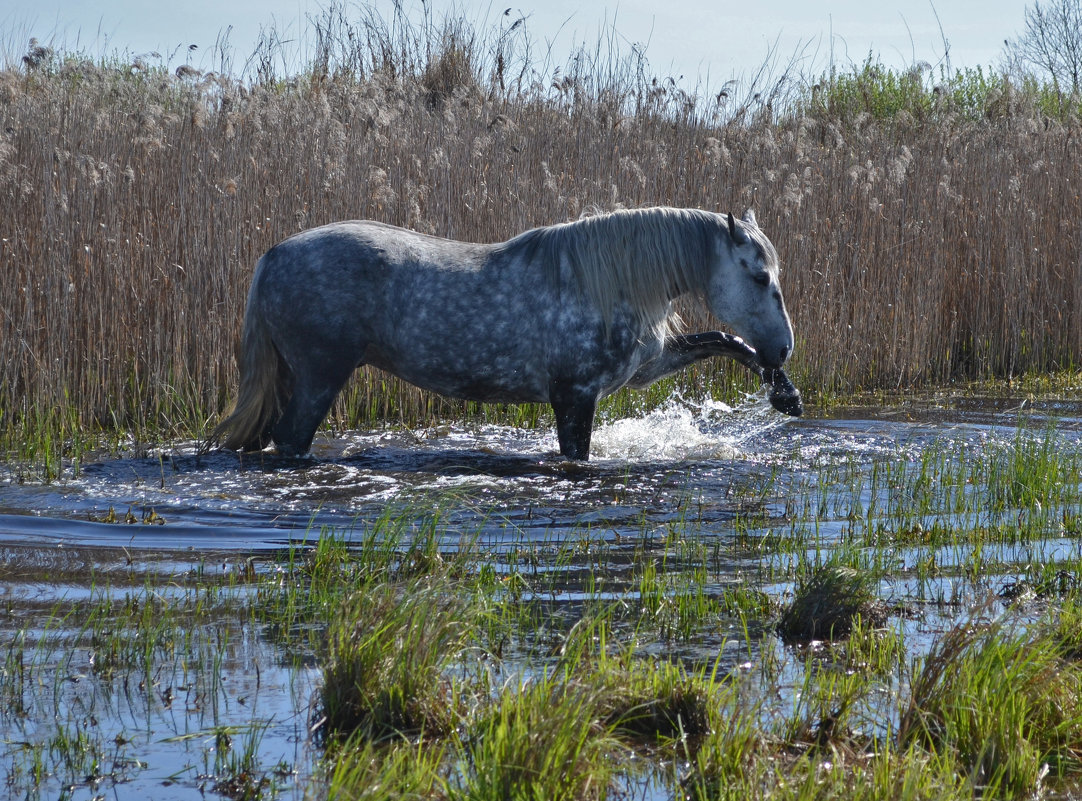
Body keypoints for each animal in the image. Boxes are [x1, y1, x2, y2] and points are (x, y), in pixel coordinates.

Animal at [213, 206, 805, 458]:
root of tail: (272, 256)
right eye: (759, 276)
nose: (783, 347)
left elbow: (722, 343)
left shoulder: (641, 369)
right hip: (319, 379)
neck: (599, 281)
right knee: (290, 441)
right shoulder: (574, 398)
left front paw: (784, 393)